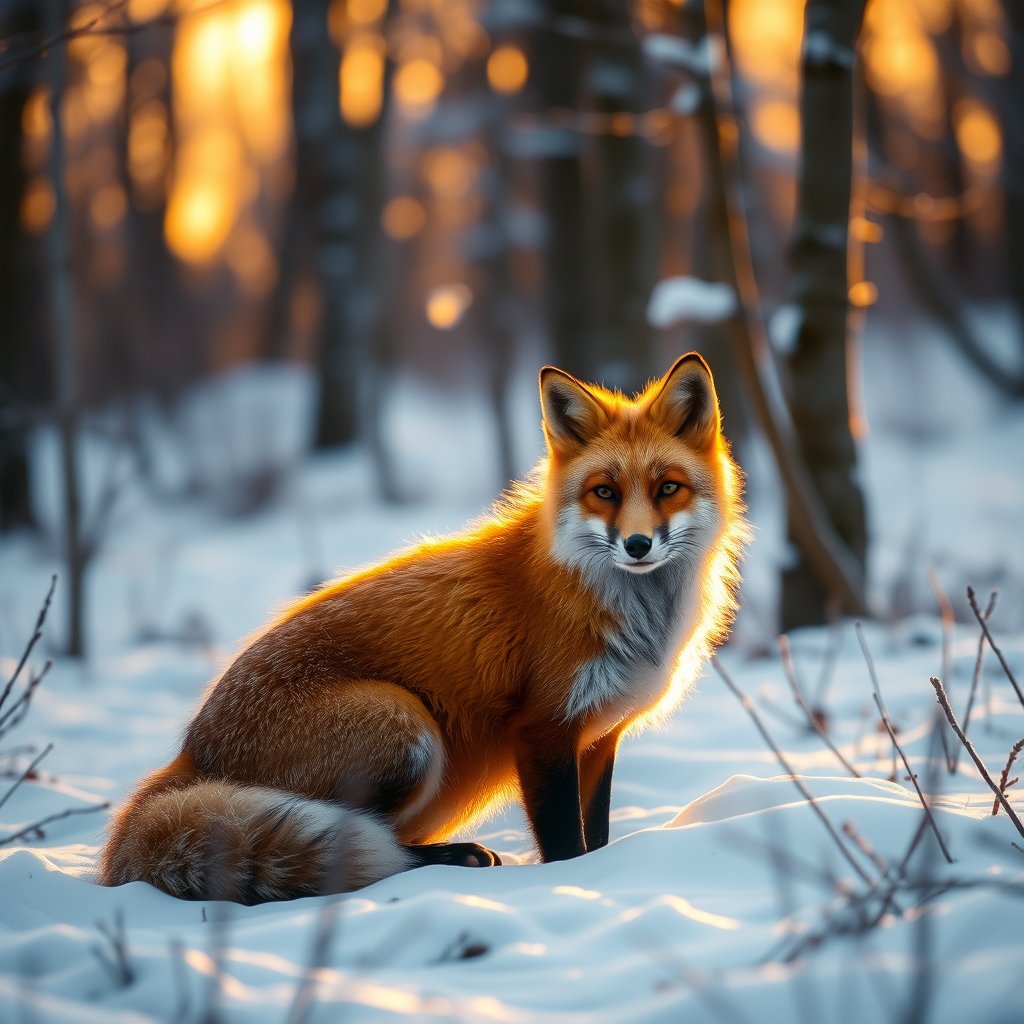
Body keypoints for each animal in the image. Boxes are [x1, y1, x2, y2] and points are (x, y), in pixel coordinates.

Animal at [98, 353, 747, 904]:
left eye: (668, 488)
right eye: (604, 492)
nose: (637, 545)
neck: (627, 612)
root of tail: (188, 757)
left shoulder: (598, 737)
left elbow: (600, 833)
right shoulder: (543, 729)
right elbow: (567, 844)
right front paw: (570, 886)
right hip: (405, 724)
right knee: (360, 844)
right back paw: (450, 859)